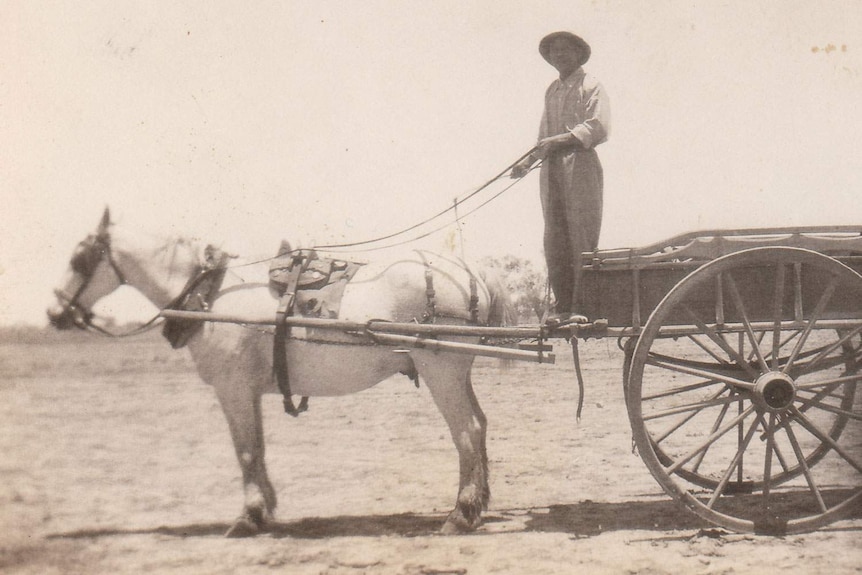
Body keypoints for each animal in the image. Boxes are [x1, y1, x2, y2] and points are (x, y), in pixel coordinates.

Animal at [47, 208, 516, 540]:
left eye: (80, 258)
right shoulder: (248, 393)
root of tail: (468, 269)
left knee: (467, 431)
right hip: (455, 372)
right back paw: (478, 506)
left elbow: (245, 452)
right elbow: (257, 448)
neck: (213, 298)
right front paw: (264, 511)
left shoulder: (233, 390)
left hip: (441, 372)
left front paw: (248, 518)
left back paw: (461, 514)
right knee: (480, 426)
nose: (54, 313)